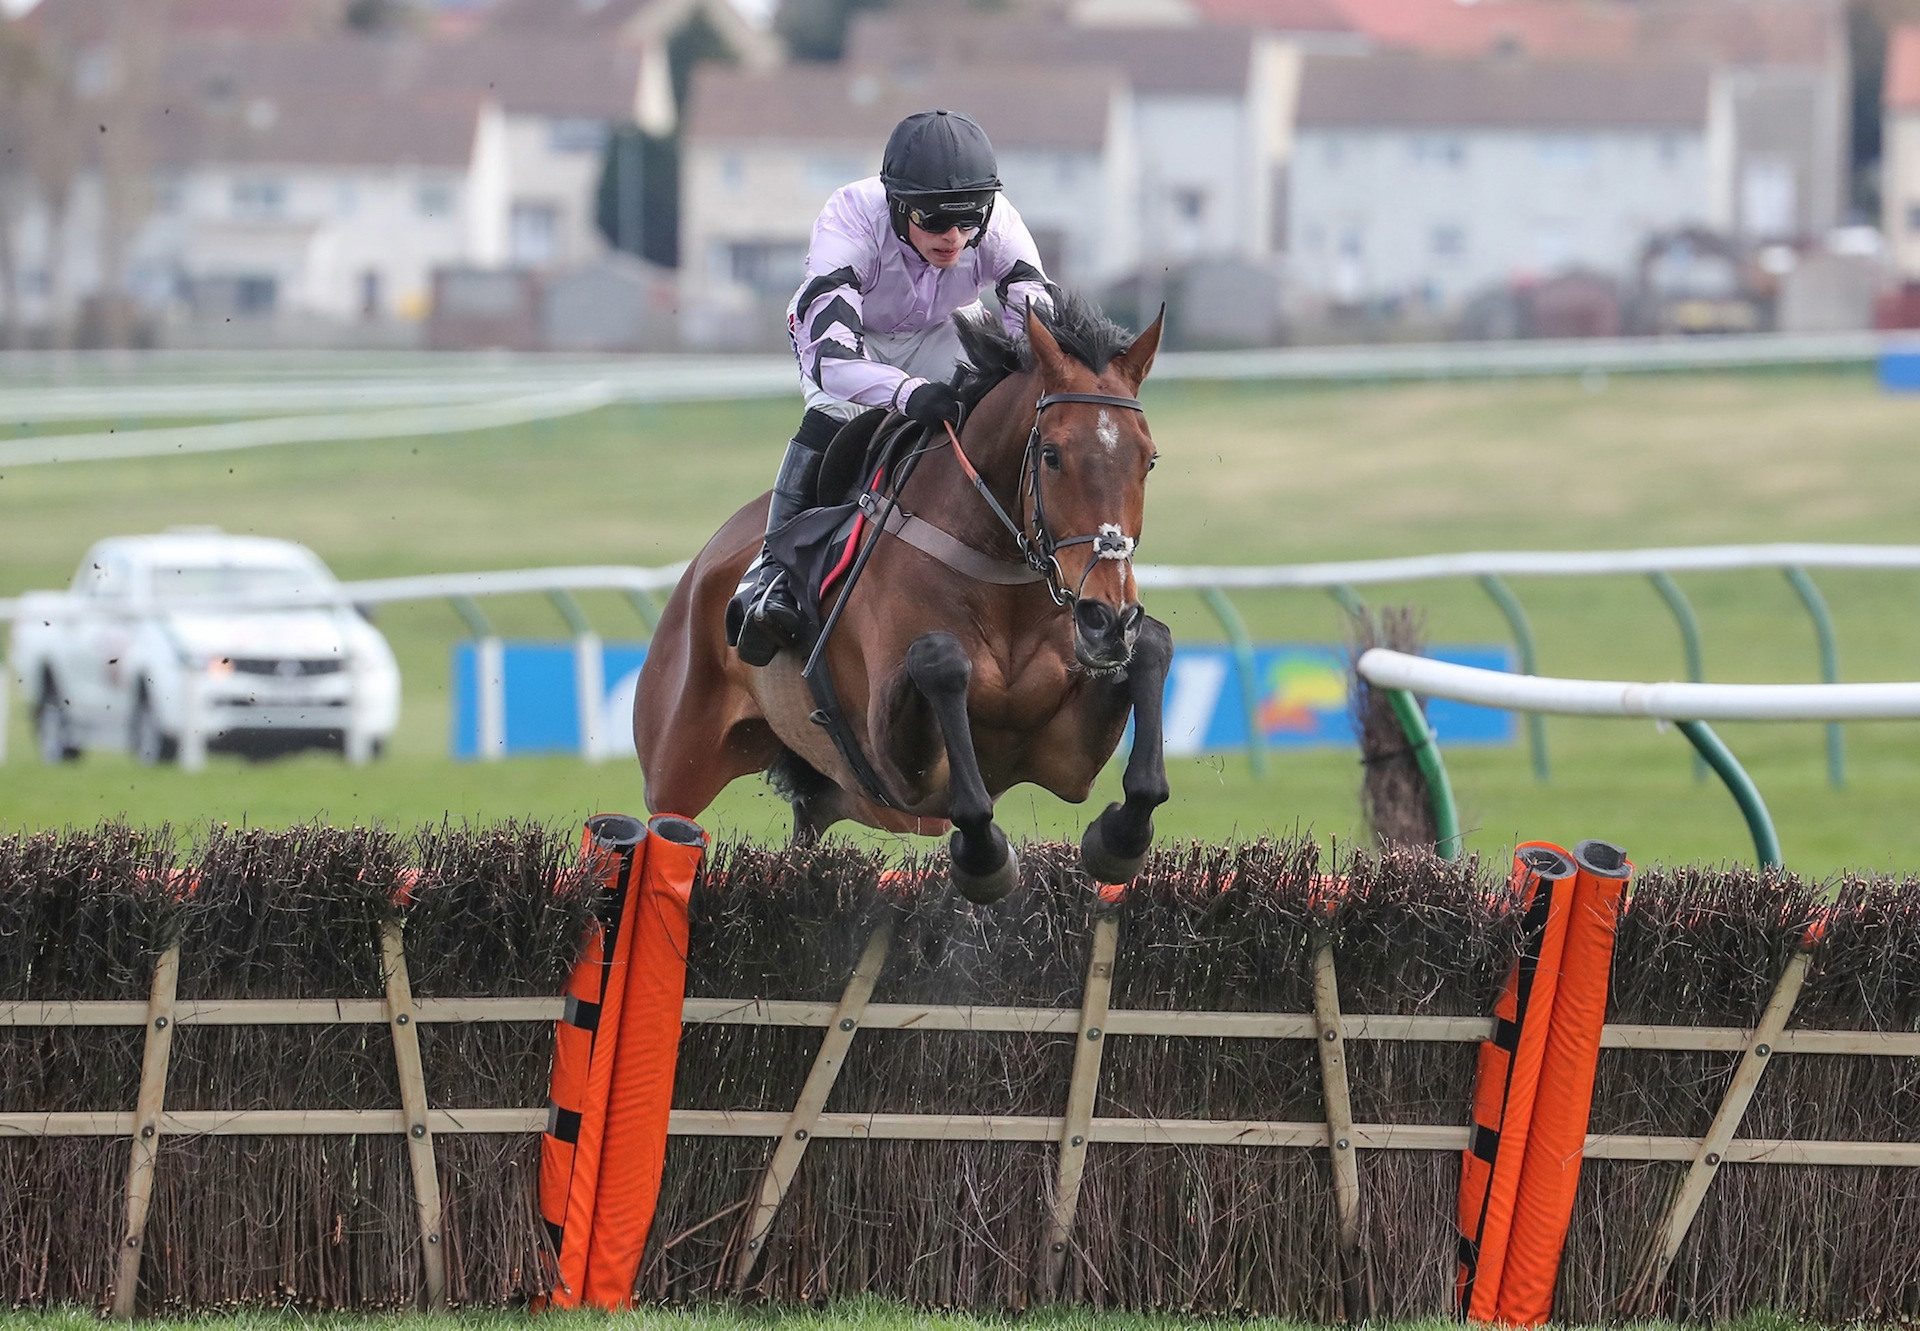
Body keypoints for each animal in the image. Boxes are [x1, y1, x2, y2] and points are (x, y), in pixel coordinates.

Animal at [629, 291, 1167, 902]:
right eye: (1051, 455)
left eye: (1148, 459)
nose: (1107, 617)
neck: (995, 573)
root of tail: (703, 564)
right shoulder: (895, 766)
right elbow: (941, 660)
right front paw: (984, 858)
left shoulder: (1066, 761)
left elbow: (1155, 647)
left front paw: (1121, 839)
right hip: (677, 767)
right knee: (668, 827)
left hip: (836, 791)